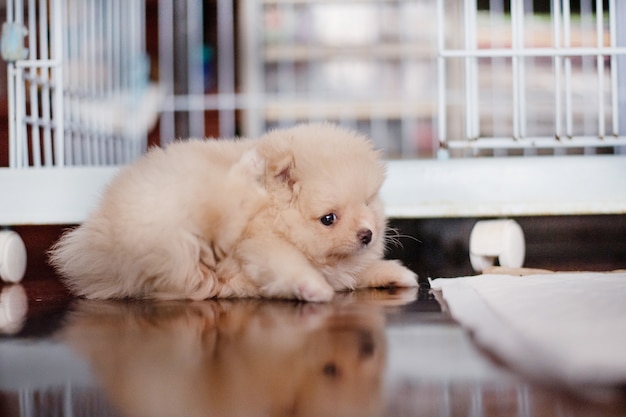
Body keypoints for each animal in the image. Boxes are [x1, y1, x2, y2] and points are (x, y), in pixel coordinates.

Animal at [50, 122, 414, 300]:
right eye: (329, 219)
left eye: (367, 202)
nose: (367, 234)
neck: (274, 214)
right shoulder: (261, 243)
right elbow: (289, 265)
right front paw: (312, 288)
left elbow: (354, 273)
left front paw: (393, 273)